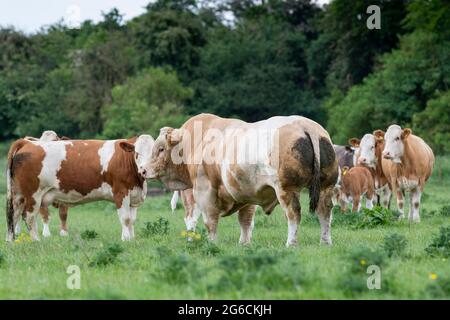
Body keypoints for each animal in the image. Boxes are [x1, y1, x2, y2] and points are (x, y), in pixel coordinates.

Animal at [5, 134, 155, 241]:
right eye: (137, 153)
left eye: (155, 153)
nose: (144, 170)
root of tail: (28, 143)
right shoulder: (120, 192)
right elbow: (125, 218)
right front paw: (126, 239)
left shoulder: (134, 196)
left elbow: (132, 220)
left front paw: (132, 238)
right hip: (33, 194)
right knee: (29, 216)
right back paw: (36, 241)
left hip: (18, 195)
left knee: (14, 215)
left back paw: (11, 241)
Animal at [142, 114, 336, 246]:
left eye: (160, 149)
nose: (143, 169)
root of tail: (304, 125)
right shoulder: (247, 193)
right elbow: (246, 220)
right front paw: (244, 243)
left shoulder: (205, 191)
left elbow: (210, 221)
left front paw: (211, 243)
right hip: (326, 187)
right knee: (325, 212)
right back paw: (325, 242)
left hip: (287, 189)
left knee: (294, 214)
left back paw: (291, 243)